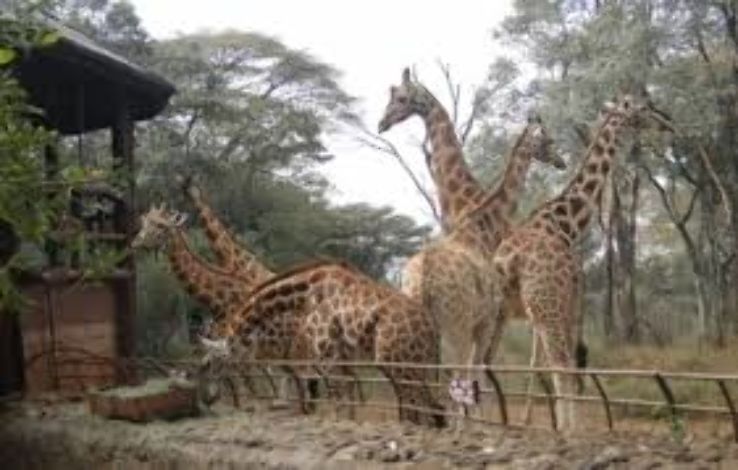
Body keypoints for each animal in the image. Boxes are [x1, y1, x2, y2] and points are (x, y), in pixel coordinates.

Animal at [202, 260, 447, 428]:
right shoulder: (344, 357)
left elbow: (338, 400)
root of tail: (433, 329)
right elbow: (347, 400)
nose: (209, 399)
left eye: (213, 364)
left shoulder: (326, 353)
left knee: (418, 406)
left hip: (397, 363)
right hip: (414, 365)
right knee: (432, 407)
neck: (305, 293)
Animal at [490, 93, 672, 431]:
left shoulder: (567, 304)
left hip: (510, 311)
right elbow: (558, 366)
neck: (563, 222)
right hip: (529, 308)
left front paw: (556, 424)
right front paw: (564, 428)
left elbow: (558, 365)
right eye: (643, 109)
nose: (668, 122)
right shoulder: (554, 304)